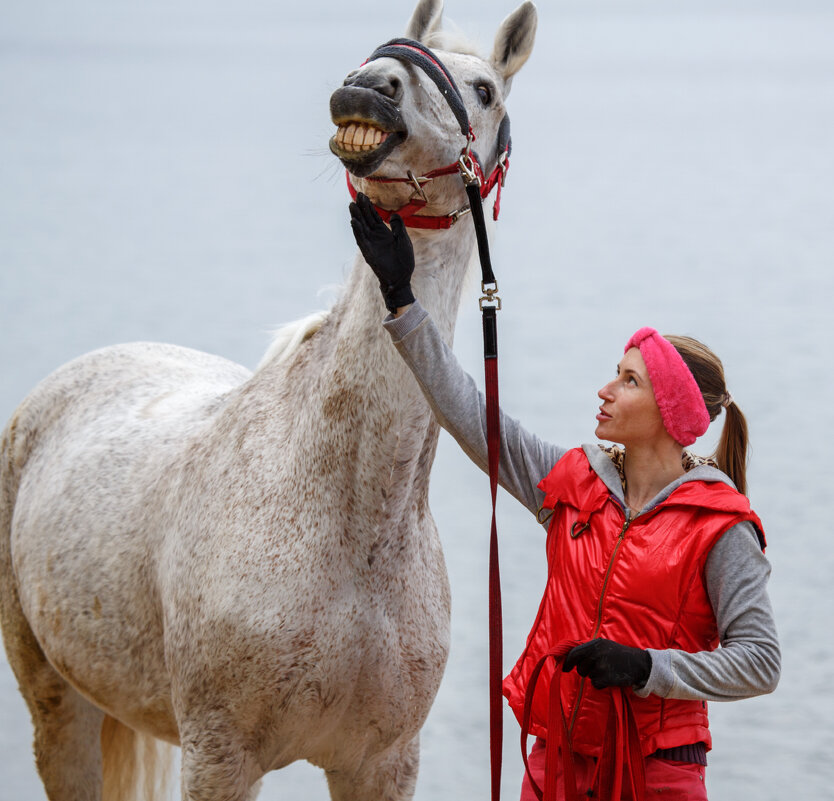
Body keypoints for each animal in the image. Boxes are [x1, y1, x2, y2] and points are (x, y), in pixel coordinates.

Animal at [0, 3, 532, 796]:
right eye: (383, 49)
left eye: (484, 90)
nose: (369, 87)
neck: (353, 522)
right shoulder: (220, 755)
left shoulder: (382, 763)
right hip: (57, 705)